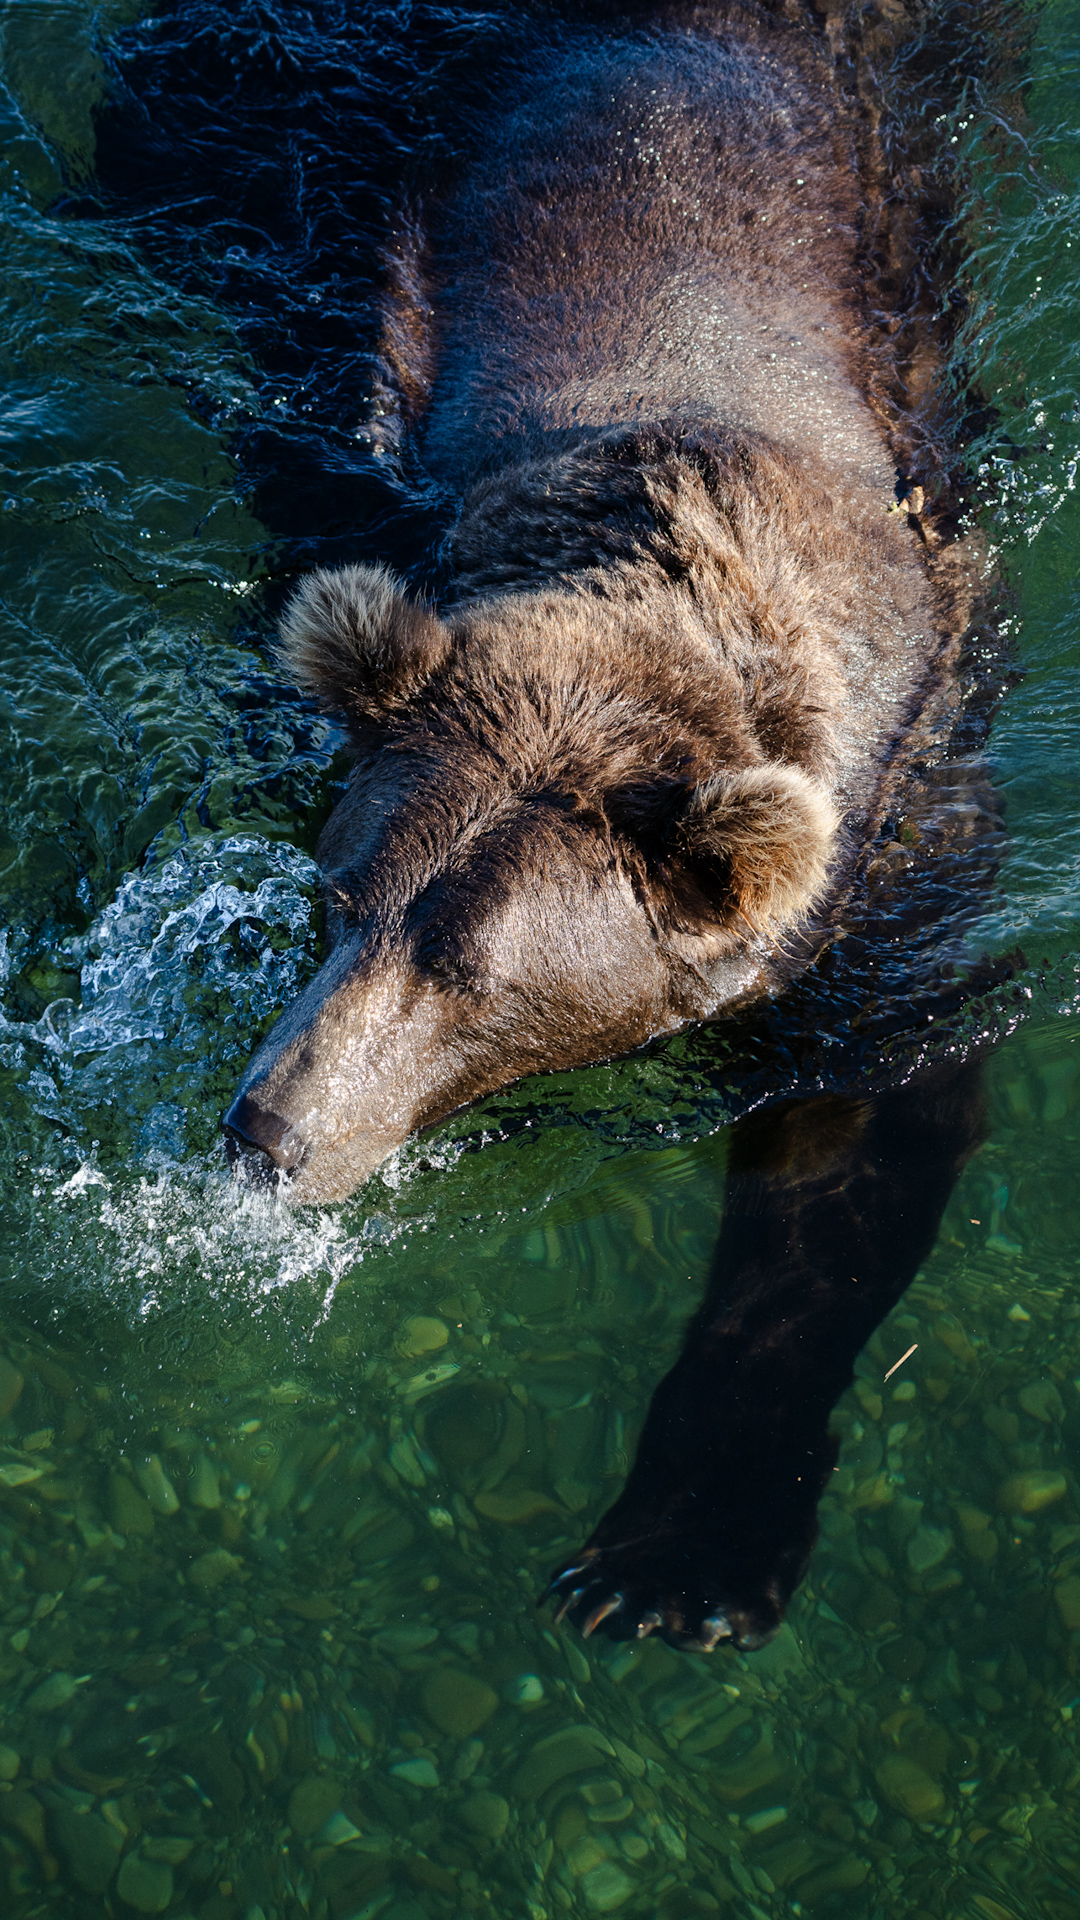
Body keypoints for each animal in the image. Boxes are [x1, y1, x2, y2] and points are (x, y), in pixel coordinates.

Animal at [222, 0, 999, 1651]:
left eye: (470, 971)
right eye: (336, 896)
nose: (267, 1130)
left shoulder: (899, 881)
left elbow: (857, 1155)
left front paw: (672, 1562)